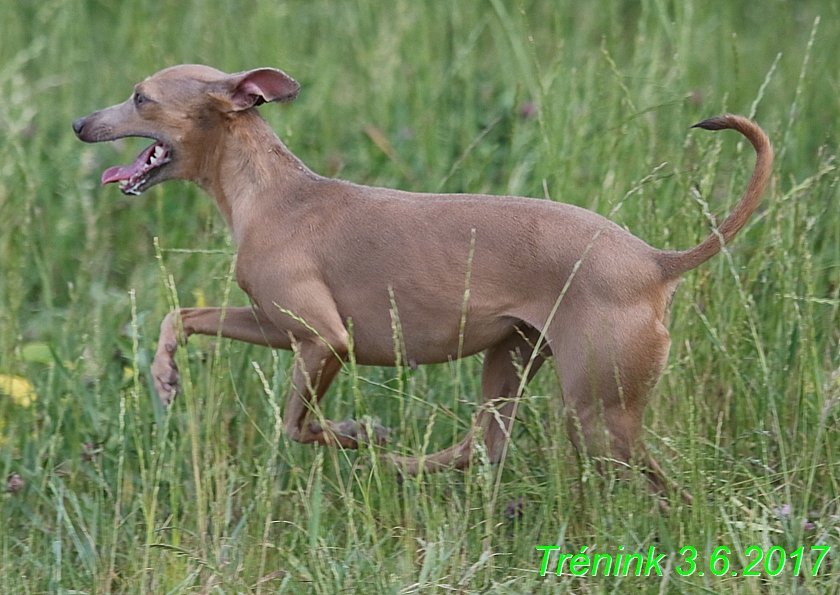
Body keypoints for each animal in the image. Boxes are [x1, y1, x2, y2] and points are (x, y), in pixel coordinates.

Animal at [74, 65, 776, 496]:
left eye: (140, 96)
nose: (79, 123)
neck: (269, 192)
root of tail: (654, 260)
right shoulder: (280, 327)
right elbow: (181, 315)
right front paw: (164, 373)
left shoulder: (325, 340)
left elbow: (297, 425)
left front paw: (358, 433)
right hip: (514, 358)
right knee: (482, 444)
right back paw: (405, 465)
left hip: (601, 412)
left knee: (662, 486)